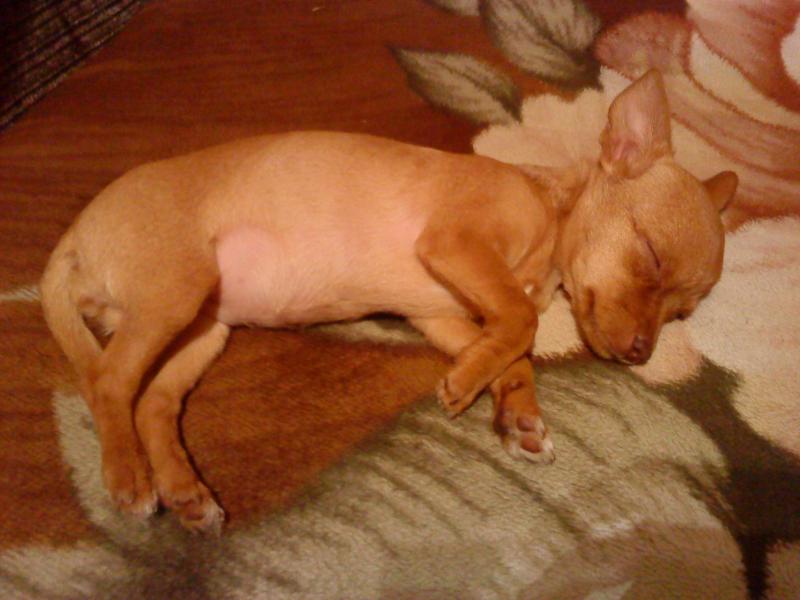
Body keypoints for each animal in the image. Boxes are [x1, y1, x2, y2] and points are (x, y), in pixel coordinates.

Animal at [40, 70, 737, 532]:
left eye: (680, 312)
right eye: (649, 256)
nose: (642, 354)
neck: (548, 210)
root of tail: (74, 236)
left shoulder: (442, 314)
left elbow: (513, 347)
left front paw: (516, 413)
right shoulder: (457, 248)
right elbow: (522, 323)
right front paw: (471, 387)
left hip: (201, 329)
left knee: (153, 401)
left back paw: (184, 489)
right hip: (174, 296)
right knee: (108, 381)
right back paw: (127, 478)